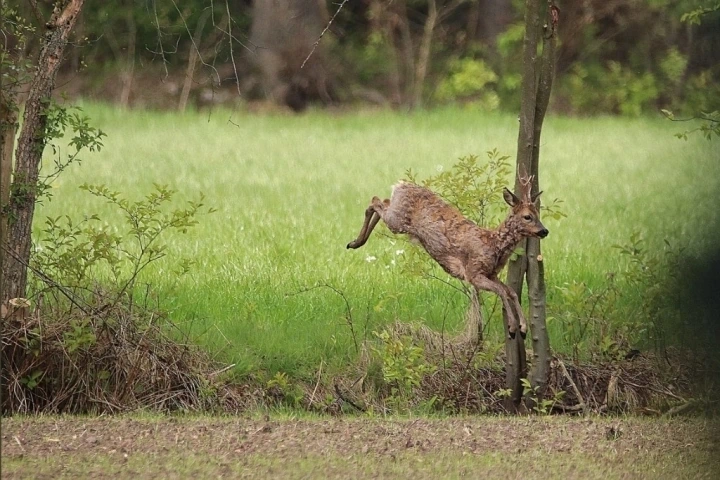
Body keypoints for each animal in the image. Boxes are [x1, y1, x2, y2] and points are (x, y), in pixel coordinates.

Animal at [346, 176, 548, 338]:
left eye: (538, 214)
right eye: (527, 216)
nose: (544, 231)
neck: (492, 244)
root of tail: (401, 184)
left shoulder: (491, 274)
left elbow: (511, 291)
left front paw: (523, 328)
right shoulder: (473, 273)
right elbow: (502, 292)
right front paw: (513, 328)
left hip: (396, 215)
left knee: (383, 201)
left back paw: (356, 241)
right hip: (397, 221)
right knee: (375, 201)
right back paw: (355, 242)